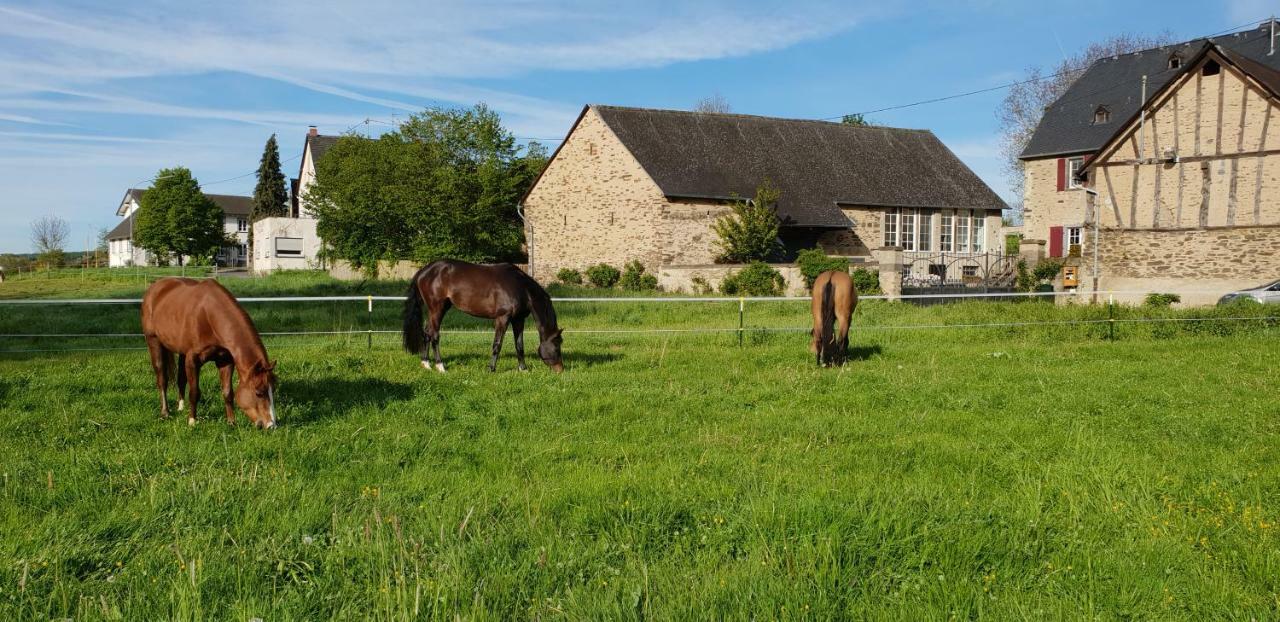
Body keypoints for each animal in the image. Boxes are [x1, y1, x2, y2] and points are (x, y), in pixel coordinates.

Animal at [141, 277, 279, 427]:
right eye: (258, 393)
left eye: (273, 389)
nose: (271, 425)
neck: (210, 317)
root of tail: (155, 287)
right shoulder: (193, 359)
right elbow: (194, 392)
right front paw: (192, 421)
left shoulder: (225, 360)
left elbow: (227, 392)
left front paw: (231, 422)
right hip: (153, 341)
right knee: (162, 379)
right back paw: (165, 412)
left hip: (182, 351)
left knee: (181, 378)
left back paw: (181, 407)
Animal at [399, 258, 560, 371]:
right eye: (558, 344)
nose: (560, 369)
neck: (520, 287)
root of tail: (424, 271)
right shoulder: (502, 318)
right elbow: (497, 344)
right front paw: (491, 368)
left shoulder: (518, 320)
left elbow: (519, 345)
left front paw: (523, 369)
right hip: (436, 309)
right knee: (434, 335)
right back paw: (440, 366)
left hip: (439, 309)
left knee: (427, 333)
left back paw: (426, 364)